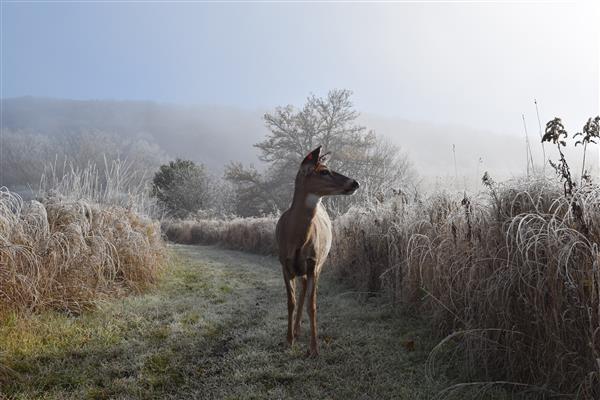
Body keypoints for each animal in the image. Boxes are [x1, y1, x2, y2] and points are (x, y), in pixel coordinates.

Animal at [274, 146, 358, 356]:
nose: (355, 182)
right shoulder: (284, 264)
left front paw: (314, 348)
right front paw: (288, 340)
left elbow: (312, 306)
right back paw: (295, 331)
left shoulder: (313, 262)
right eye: (324, 171)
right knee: (302, 290)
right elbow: (291, 302)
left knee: (306, 292)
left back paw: (299, 331)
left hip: (320, 263)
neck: (296, 239)